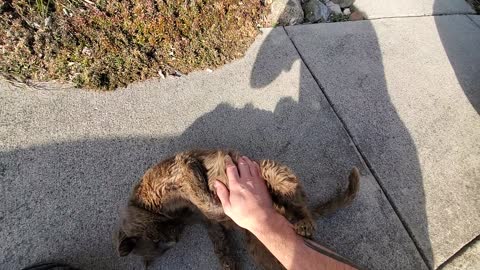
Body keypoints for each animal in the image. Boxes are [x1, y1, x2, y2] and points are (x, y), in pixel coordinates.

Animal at [114, 149, 358, 268]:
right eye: (162, 246)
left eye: (157, 240)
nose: (174, 239)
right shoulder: (208, 224)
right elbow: (219, 242)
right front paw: (228, 264)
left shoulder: (184, 166)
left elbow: (197, 191)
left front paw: (216, 201)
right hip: (259, 244)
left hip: (272, 172)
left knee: (301, 205)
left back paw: (305, 223)